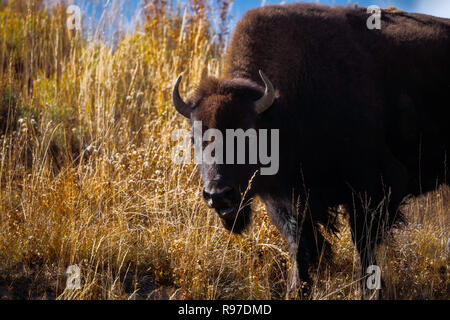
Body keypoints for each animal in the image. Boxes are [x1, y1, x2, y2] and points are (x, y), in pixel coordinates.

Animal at [171, 2, 448, 298]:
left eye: (248, 134)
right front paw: (296, 289)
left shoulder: (371, 186)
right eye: (193, 138)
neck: (280, 112)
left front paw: (369, 290)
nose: (218, 196)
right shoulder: (284, 201)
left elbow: (363, 242)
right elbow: (299, 243)